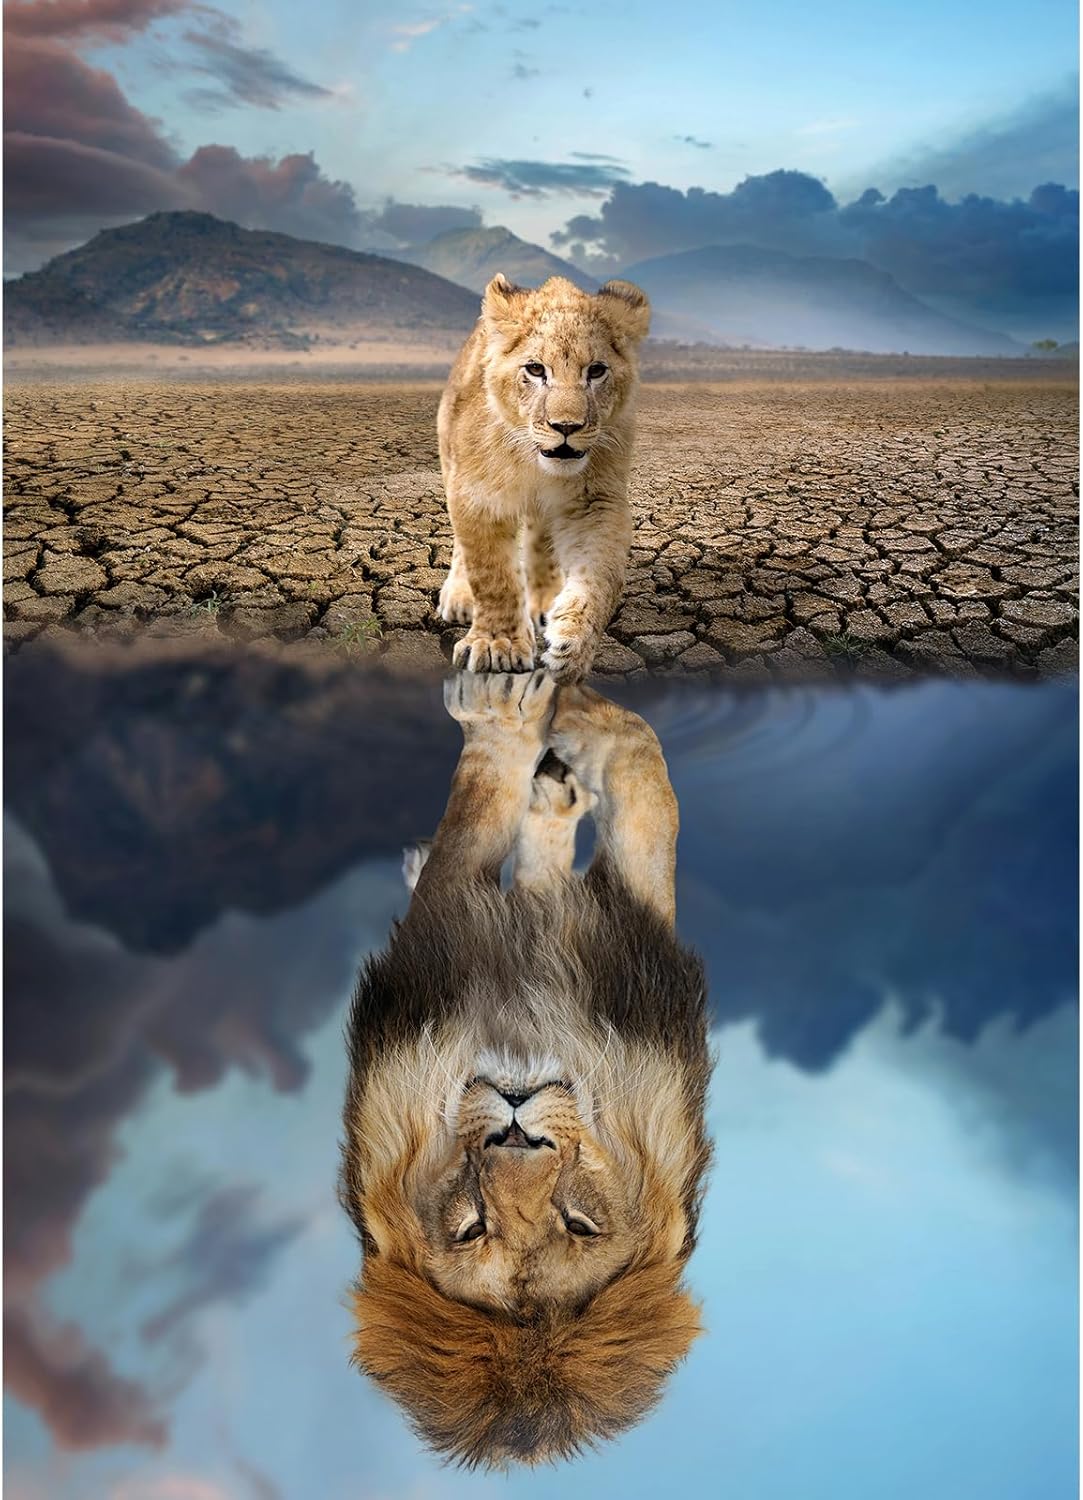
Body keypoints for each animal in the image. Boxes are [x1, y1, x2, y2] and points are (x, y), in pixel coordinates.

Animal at [339, 672, 712, 1468]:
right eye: (472, 1228)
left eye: (578, 1224)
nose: (515, 1132)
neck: (524, 1030)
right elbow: (636, 784)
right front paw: (538, 719)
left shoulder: (629, 949)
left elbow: (639, 788)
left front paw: (538, 719)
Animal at [436, 274, 651, 682]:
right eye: (535, 370)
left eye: (596, 370)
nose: (566, 427)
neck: (534, 464)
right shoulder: (477, 496)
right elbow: (492, 575)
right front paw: (497, 645)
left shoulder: (594, 502)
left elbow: (601, 576)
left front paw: (573, 645)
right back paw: (458, 597)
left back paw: (546, 601)